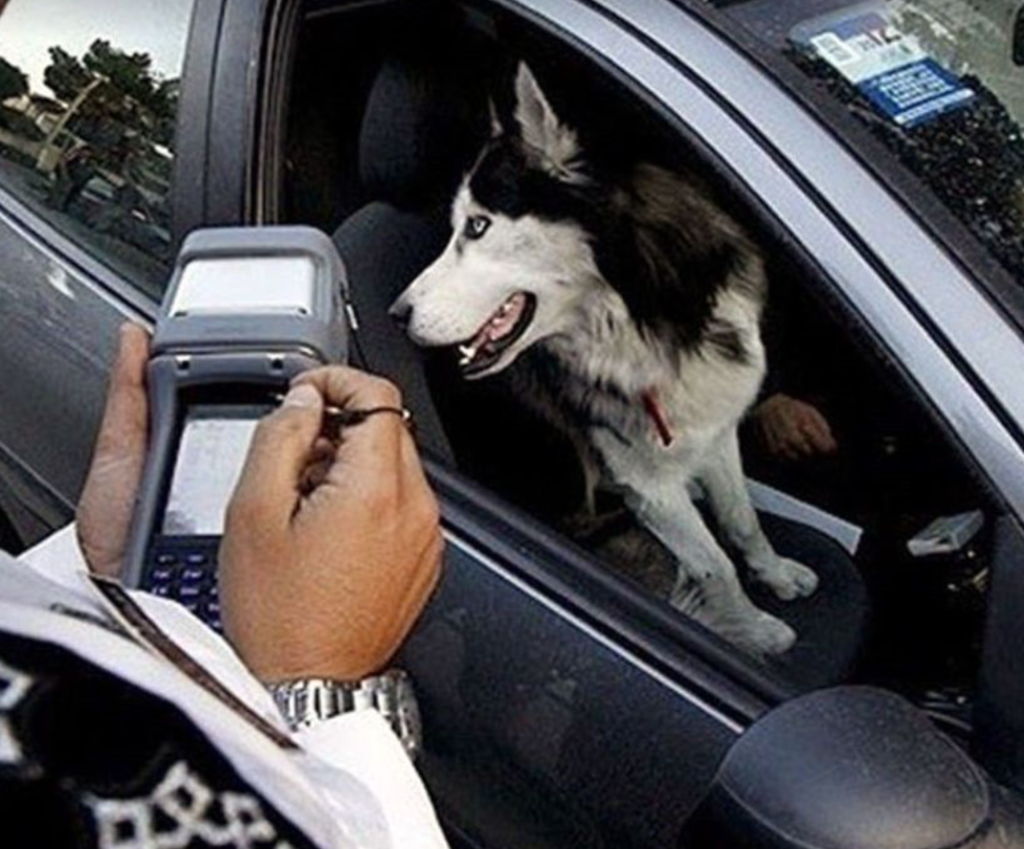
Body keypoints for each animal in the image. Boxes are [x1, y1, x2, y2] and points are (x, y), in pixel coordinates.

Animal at [387, 64, 819, 655]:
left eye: (476, 226)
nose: (397, 314)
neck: (648, 322)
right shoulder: (646, 484)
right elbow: (714, 565)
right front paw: (753, 632)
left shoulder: (714, 430)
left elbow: (742, 520)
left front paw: (774, 575)